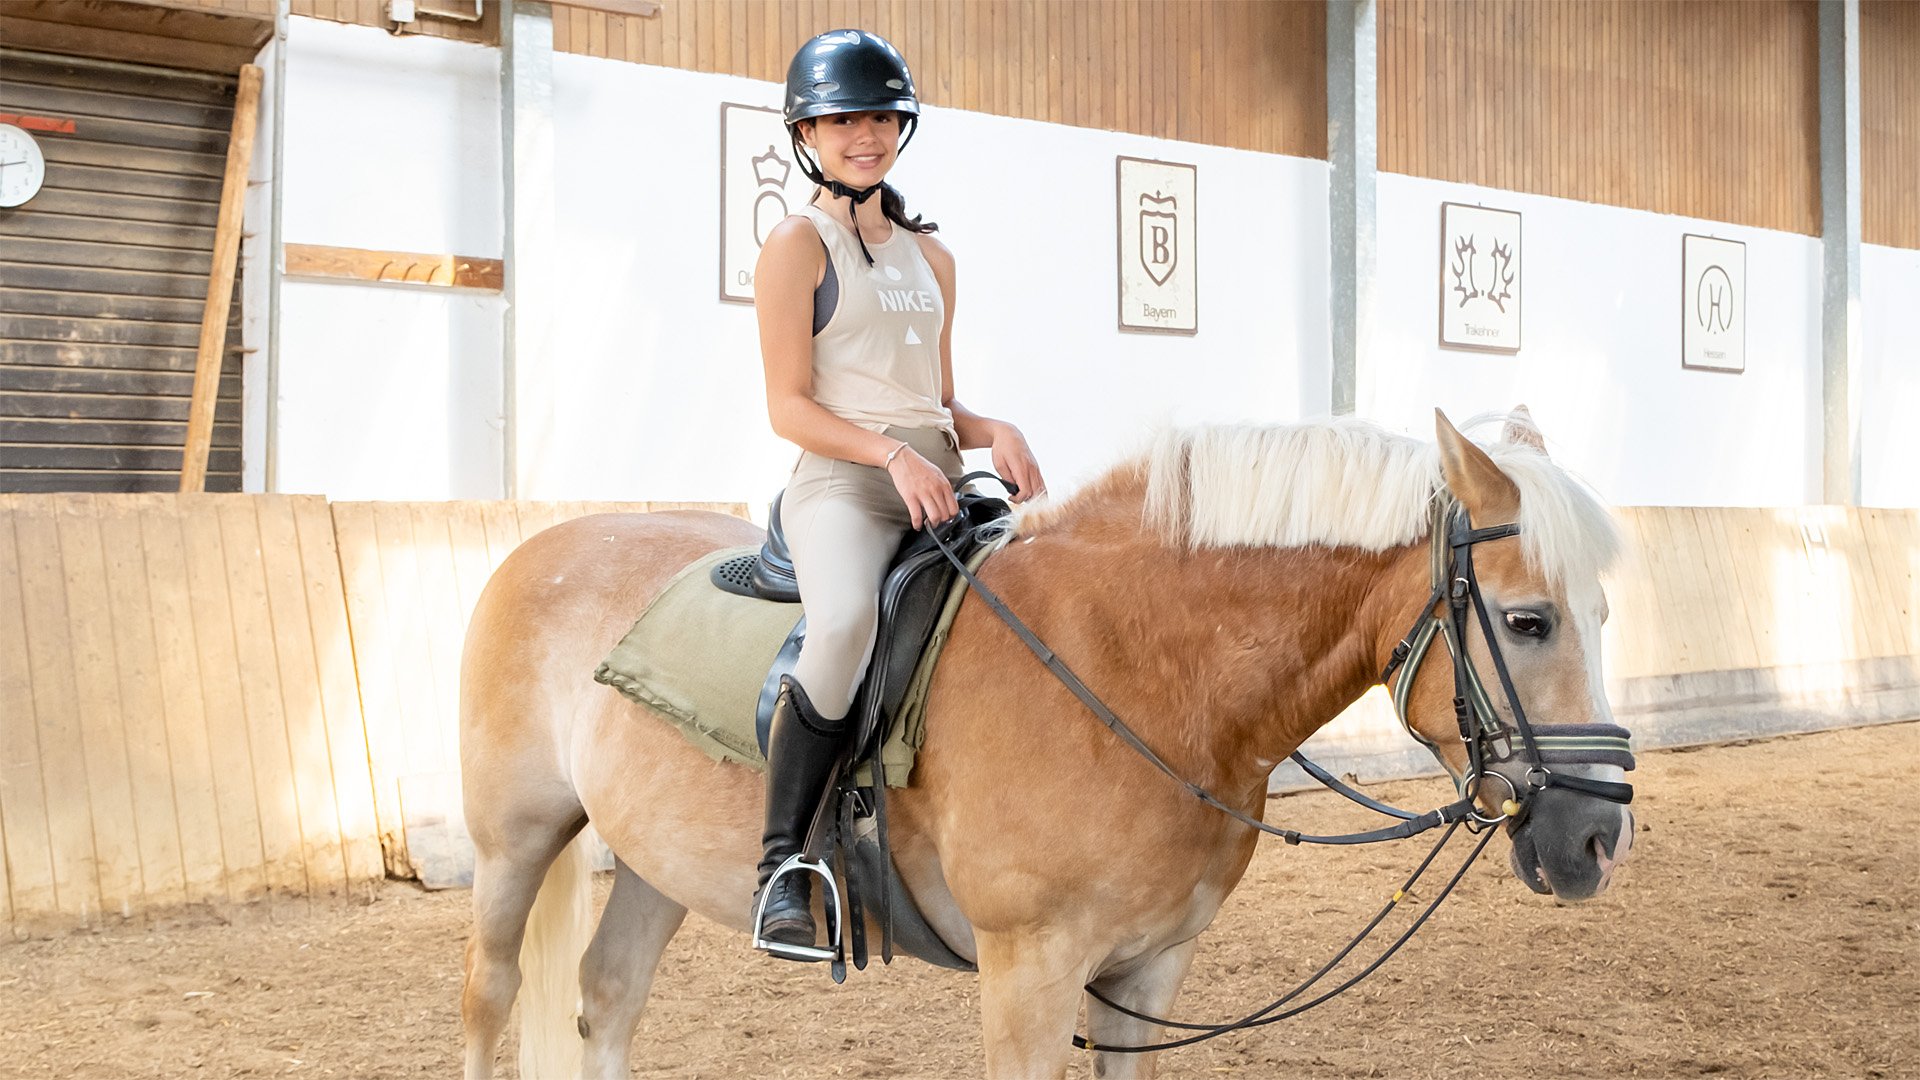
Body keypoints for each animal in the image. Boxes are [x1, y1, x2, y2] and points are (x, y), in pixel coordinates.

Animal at [457, 409, 1635, 1079]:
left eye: (1604, 615)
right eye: (1530, 621)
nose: (1594, 840)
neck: (1136, 668)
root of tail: (545, 544)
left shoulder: (1146, 970)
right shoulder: (1027, 973)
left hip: (653, 859)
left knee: (607, 998)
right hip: (515, 842)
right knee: (492, 996)